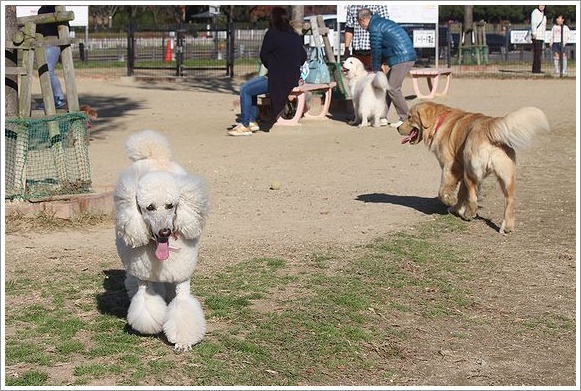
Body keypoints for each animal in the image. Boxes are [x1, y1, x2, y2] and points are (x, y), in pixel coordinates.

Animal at [113, 129, 208, 352]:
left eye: (170, 205)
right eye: (149, 207)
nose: (165, 232)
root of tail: (154, 156)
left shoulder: (181, 275)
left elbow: (182, 304)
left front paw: (183, 341)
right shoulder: (144, 276)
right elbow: (146, 302)